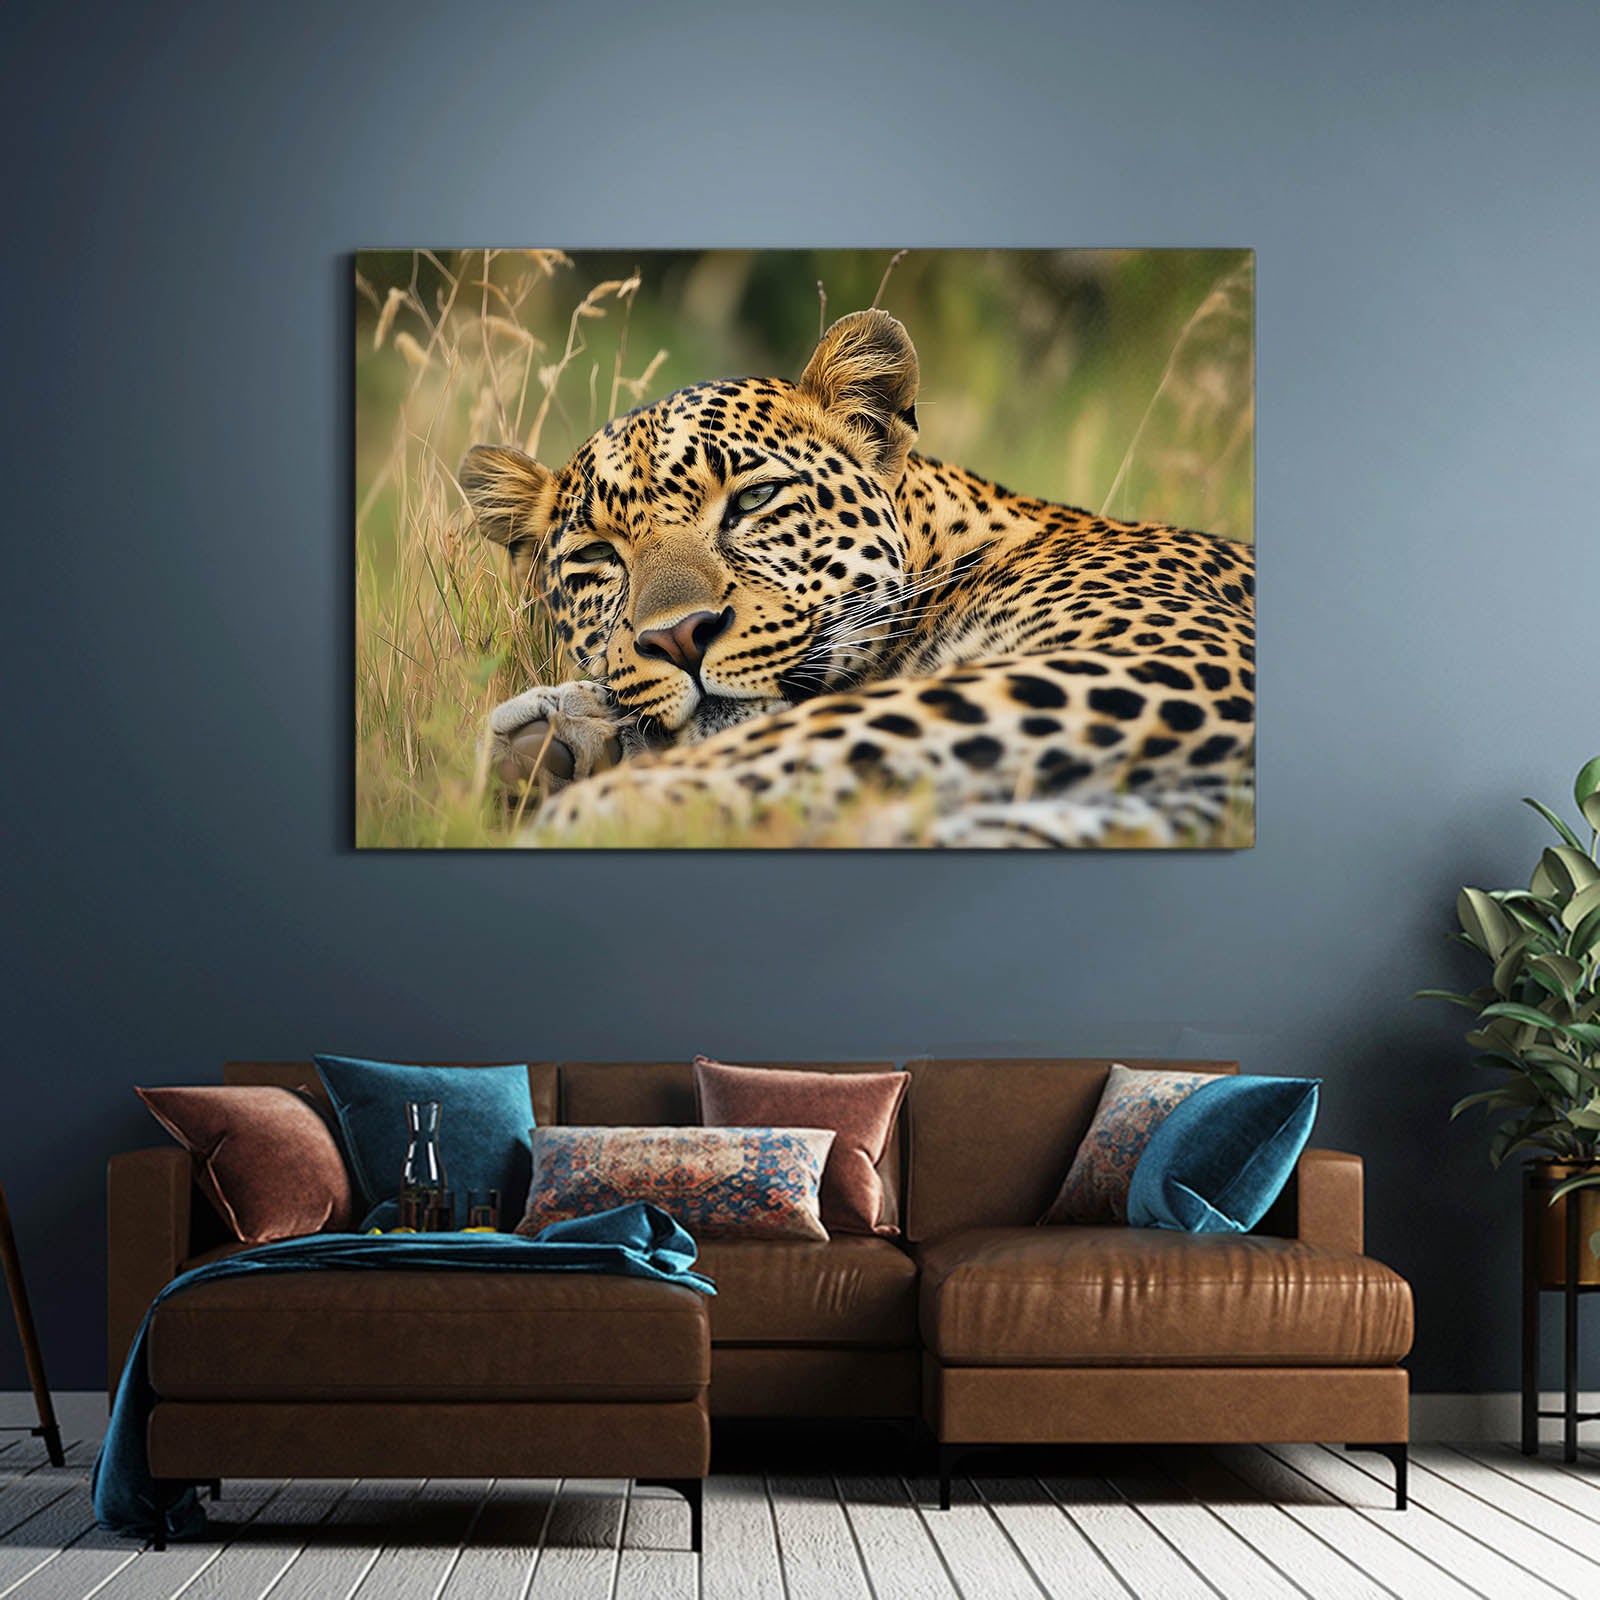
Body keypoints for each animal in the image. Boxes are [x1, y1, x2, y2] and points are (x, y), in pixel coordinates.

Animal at [459, 309, 1253, 848]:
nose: (681, 638)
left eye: (753, 499)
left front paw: (588, 804)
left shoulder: (1161, 661)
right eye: (597, 557)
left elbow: (826, 730)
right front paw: (567, 740)